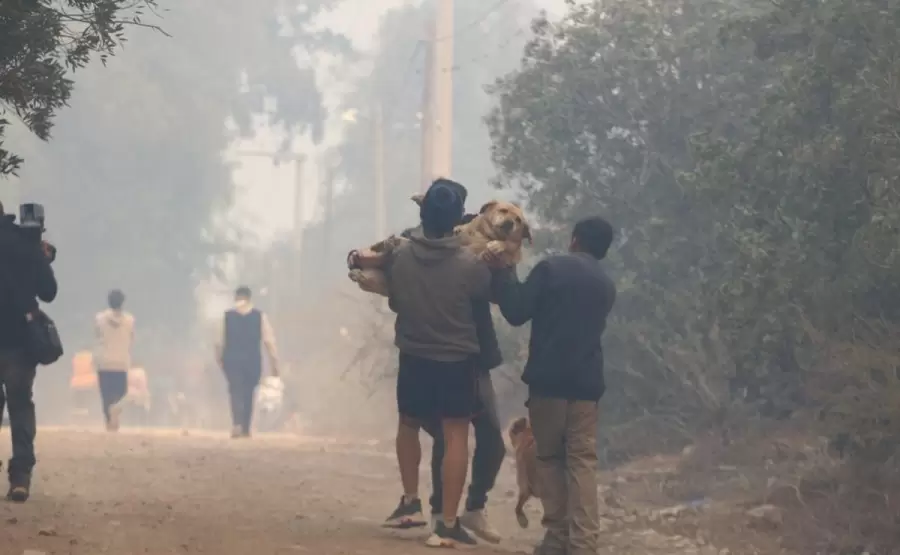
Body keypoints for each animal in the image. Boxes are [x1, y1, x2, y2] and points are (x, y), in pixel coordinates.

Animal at [348, 197, 532, 298]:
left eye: (518, 220)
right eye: (503, 210)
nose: (509, 223)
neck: (485, 235)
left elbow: (508, 247)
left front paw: (496, 247)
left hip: (381, 280)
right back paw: (379, 248)